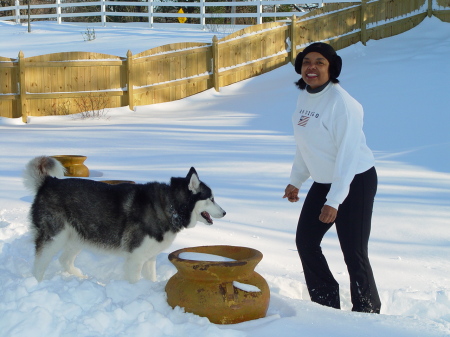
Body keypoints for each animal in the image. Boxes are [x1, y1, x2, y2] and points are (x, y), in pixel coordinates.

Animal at [23, 156, 227, 282]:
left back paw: (82, 278)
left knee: (64, 260)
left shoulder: (149, 257)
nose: (225, 213)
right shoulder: (135, 258)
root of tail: (49, 182)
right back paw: (38, 283)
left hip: (78, 237)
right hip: (54, 237)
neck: (170, 207)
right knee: (39, 265)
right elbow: (134, 281)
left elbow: (151, 279)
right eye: (211, 198)